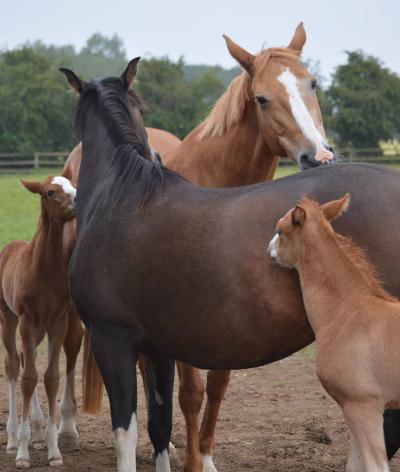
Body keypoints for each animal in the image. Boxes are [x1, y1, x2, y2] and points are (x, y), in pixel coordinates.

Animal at [0, 171, 76, 466]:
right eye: (50, 192)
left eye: (73, 186)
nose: (78, 201)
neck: (42, 268)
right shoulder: (25, 320)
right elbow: (28, 378)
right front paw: (22, 453)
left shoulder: (57, 321)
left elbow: (50, 377)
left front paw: (54, 450)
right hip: (9, 319)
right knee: (13, 365)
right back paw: (12, 438)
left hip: (40, 328)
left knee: (24, 357)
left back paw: (38, 433)